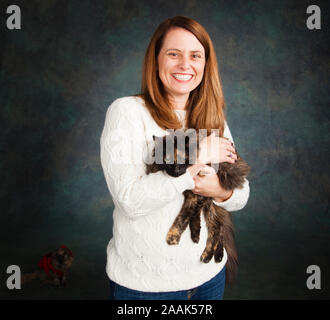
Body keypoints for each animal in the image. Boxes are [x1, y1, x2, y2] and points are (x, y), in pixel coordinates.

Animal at [146, 129, 249, 284]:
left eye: (182, 159)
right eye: (167, 161)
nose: (175, 171)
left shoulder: (197, 194)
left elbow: (182, 217)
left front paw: (173, 236)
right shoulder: (194, 194)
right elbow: (191, 215)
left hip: (212, 201)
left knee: (217, 227)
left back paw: (208, 255)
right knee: (217, 226)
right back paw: (205, 244)